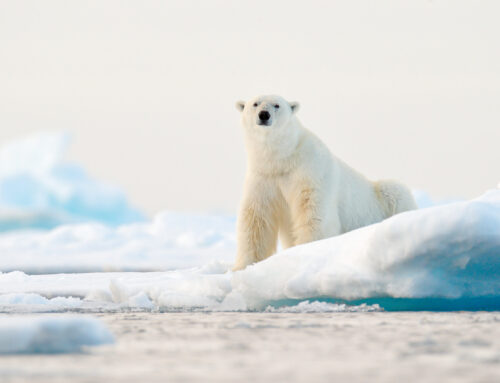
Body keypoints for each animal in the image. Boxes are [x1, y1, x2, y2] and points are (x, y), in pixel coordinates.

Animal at [234, 95, 418, 272]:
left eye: (277, 105)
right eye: (255, 104)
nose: (264, 115)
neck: (283, 159)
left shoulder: (310, 169)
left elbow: (313, 212)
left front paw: (307, 251)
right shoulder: (263, 177)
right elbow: (256, 218)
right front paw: (242, 266)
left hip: (383, 196)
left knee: (395, 191)